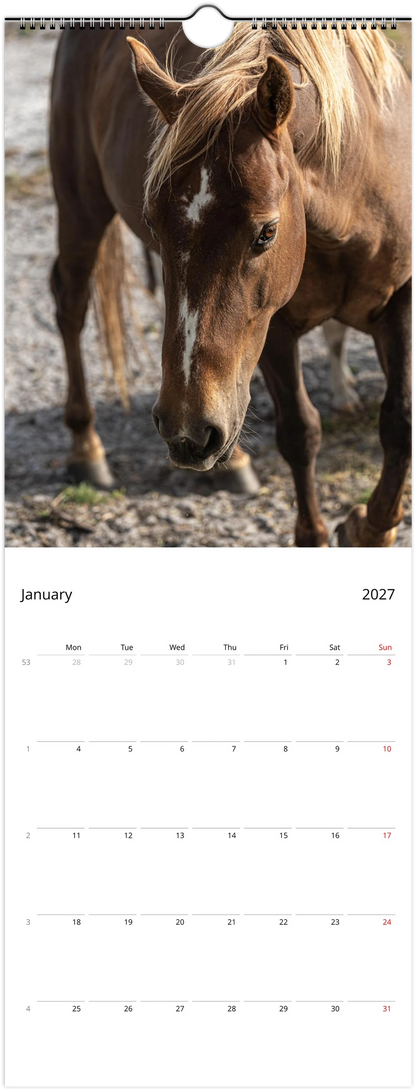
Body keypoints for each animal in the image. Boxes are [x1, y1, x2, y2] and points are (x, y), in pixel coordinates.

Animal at [49, 22, 411, 546]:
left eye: (267, 232)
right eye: (152, 223)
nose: (184, 428)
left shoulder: (400, 301)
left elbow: (400, 421)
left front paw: (371, 527)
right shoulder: (274, 326)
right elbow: (300, 432)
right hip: (80, 204)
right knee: (71, 304)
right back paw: (85, 449)